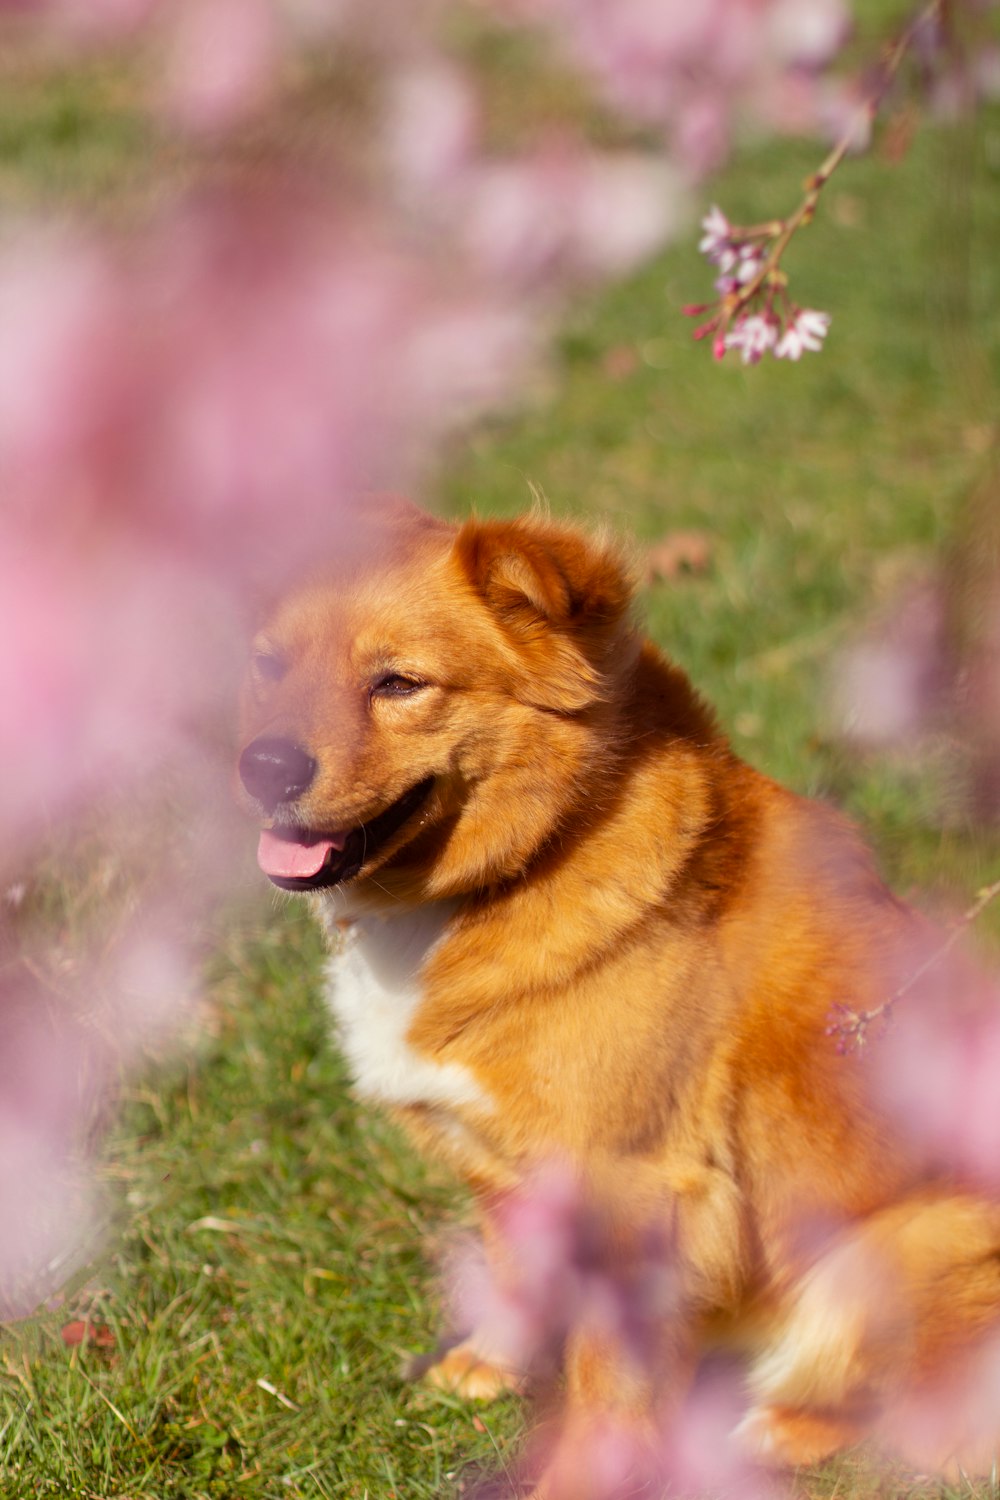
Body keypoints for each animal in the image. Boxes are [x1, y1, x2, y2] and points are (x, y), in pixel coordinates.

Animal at [236, 501, 1000, 1488]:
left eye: (400, 683)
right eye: (268, 667)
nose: (263, 767)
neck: (525, 861)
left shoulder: (636, 1188)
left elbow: (609, 1370)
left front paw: (583, 1475)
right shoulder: (500, 1164)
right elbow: (516, 1274)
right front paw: (492, 1364)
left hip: (890, 1254)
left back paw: (769, 1432)